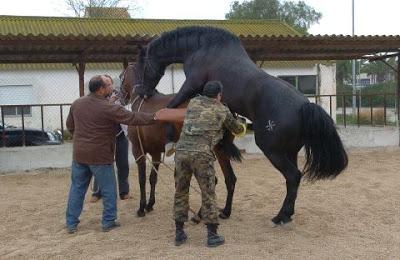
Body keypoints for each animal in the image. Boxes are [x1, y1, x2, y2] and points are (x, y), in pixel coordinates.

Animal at [118, 62, 241, 217]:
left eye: (121, 76)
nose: (120, 97)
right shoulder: (156, 152)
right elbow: (153, 178)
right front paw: (150, 204)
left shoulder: (138, 150)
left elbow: (142, 179)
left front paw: (141, 208)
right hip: (220, 151)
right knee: (229, 179)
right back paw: (225, 211)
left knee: (211, 180)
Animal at [133, 26, 348, 225]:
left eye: (141, 65)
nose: (142, 92)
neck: (201, 48)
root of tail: (304, 105)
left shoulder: (191, 85)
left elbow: (171, 106)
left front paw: (170, 138)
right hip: (290, 152)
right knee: (292, 180)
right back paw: (287, 214)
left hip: (273, 151)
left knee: (293, 176)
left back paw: (280, 216)